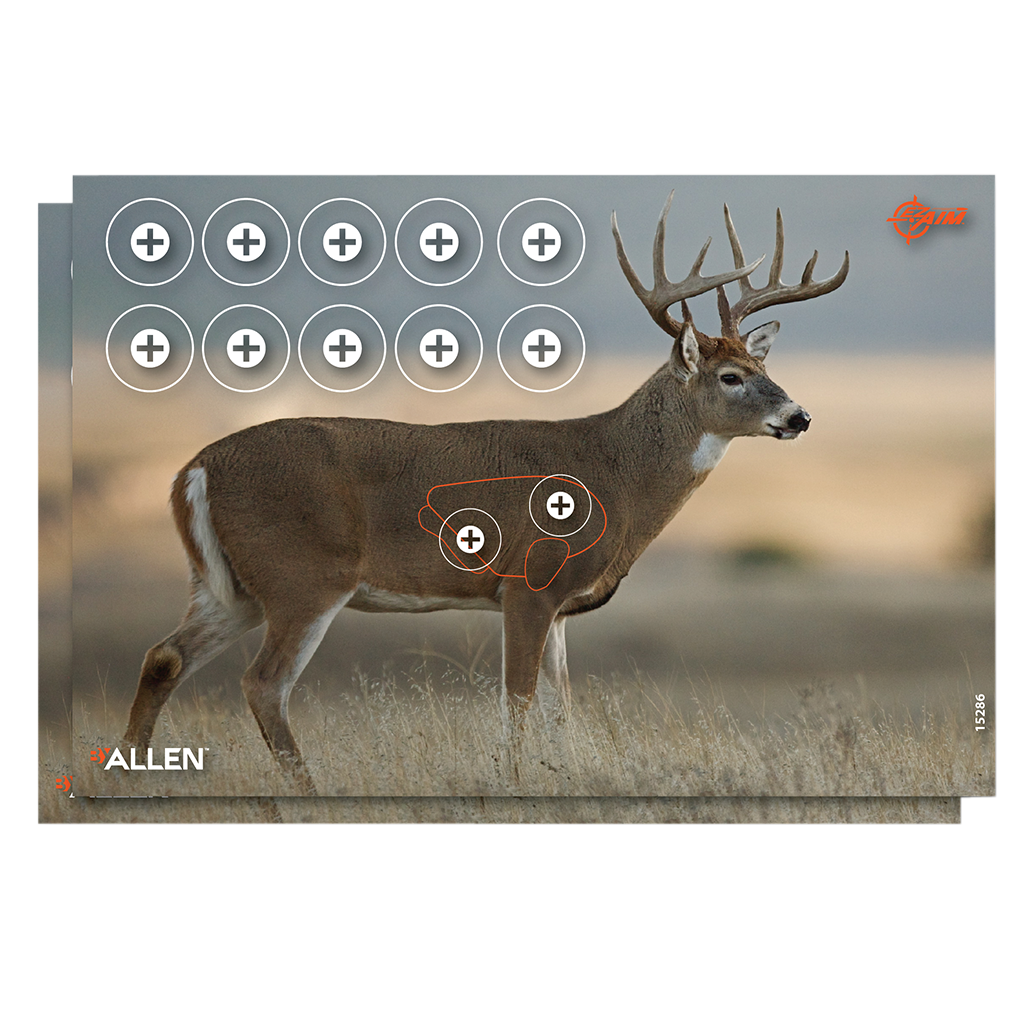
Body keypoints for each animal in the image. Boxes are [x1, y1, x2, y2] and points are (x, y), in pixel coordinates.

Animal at [122, 191, 849, 793]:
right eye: (730, 376)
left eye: (762, 365)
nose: (800, 417)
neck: (614, 473)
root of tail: (195, 468)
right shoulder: (528, 583)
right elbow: (518, 700)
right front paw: (514, 783)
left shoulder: (560, 606)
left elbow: (560, 707)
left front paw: (563, 777)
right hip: (304, 574)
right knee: (263, 683)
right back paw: (307, 793)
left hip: (232, 586)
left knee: (163, 656)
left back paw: (130, 779)